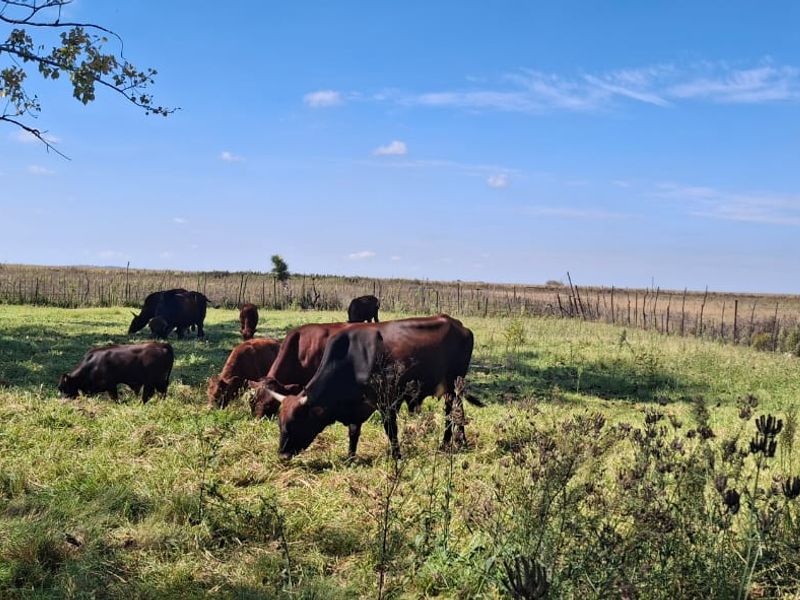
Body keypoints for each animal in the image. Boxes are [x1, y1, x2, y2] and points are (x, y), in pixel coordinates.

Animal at [265, 315, 481, 459]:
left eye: (296, 422)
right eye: (280, 423)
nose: (282, 456)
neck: (353, 359)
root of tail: (459, 325)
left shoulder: (387, 402)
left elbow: (391, 430)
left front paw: (396, 456)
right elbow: (353, 433)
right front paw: (350, 457)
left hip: (454, 385)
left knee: (452, 412)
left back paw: (447, 444)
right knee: (456, 410)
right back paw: (459, 441)